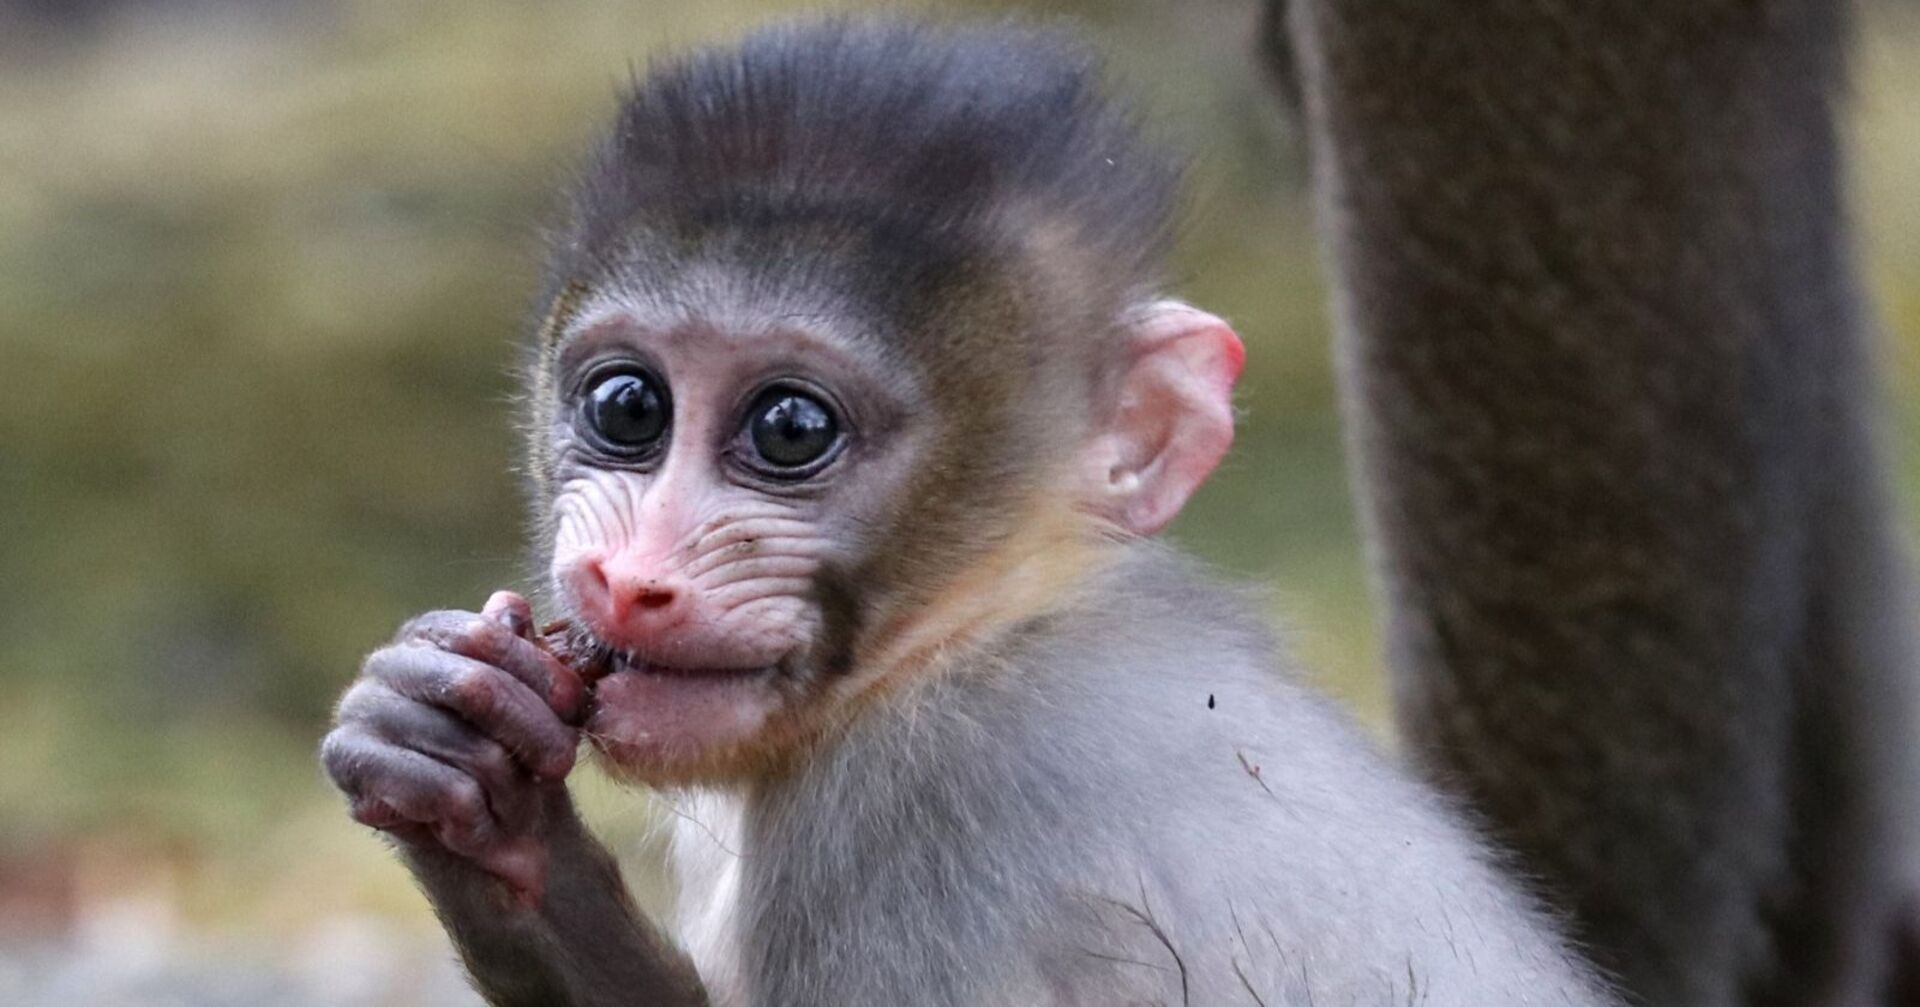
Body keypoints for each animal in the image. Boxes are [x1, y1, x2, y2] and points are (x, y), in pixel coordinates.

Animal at [320, 19, 1623, 1007]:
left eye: (789, 429)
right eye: (628, 405)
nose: (625, 579)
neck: (986, 622)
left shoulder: (918, 817)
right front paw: (465, 783)